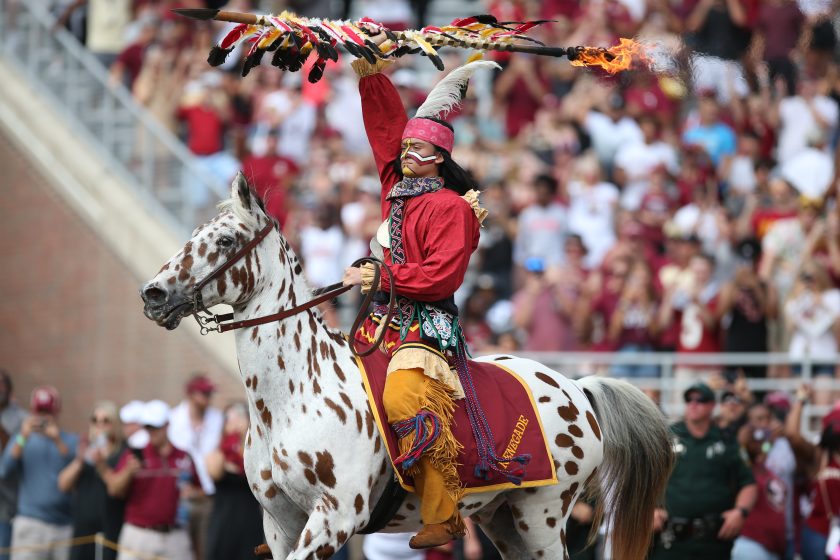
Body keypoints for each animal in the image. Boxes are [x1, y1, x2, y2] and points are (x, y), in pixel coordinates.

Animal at [141, 175, 672, 560]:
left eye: (225, 240)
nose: (153, 294)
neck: (294, 398)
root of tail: (577, 389)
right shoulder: (280, 523)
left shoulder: (335, 519)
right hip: (503, 519)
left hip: (541, 516)